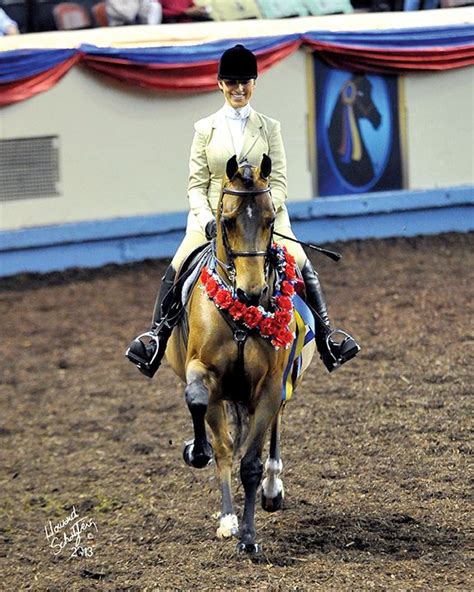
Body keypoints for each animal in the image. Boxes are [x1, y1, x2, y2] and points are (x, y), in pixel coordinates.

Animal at [167, 154, 314, 556]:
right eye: (228, 221)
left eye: (270, 220)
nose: (251, 293)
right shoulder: (204, 373)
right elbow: (205, 416)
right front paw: (197, 453)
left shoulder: (269, 388)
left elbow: (250, 462)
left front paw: (249, 538)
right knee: (227, 440)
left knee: (271, 432)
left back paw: (272, 488)